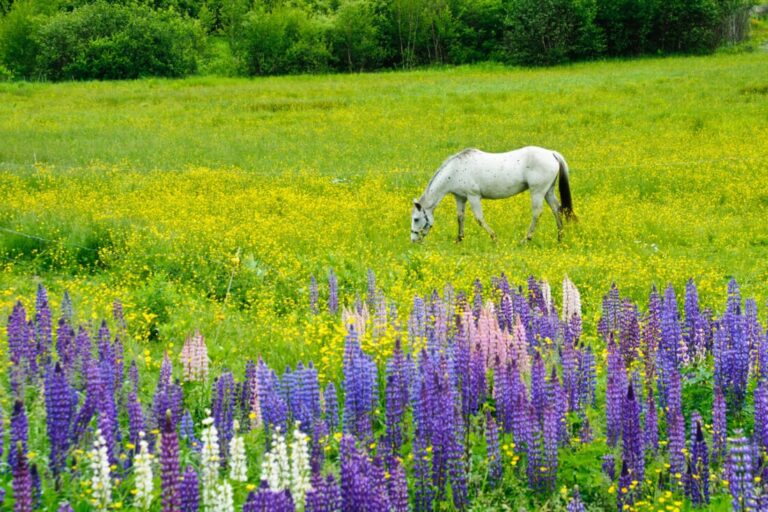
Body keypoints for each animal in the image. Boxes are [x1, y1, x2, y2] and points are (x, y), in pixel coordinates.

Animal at [410, 146, 576, 243]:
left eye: (416, 219)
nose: (413, 240)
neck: (456, 170)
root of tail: (552, 154)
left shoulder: (473, 196)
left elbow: (479, 218)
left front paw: (494, 238)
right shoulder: (460, 197)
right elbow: (460, 217)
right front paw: (459, 239)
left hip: (538, 191)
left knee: (537, 213)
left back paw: (526, 239)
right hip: (548, 191)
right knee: (557, 209)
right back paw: (560, 237)